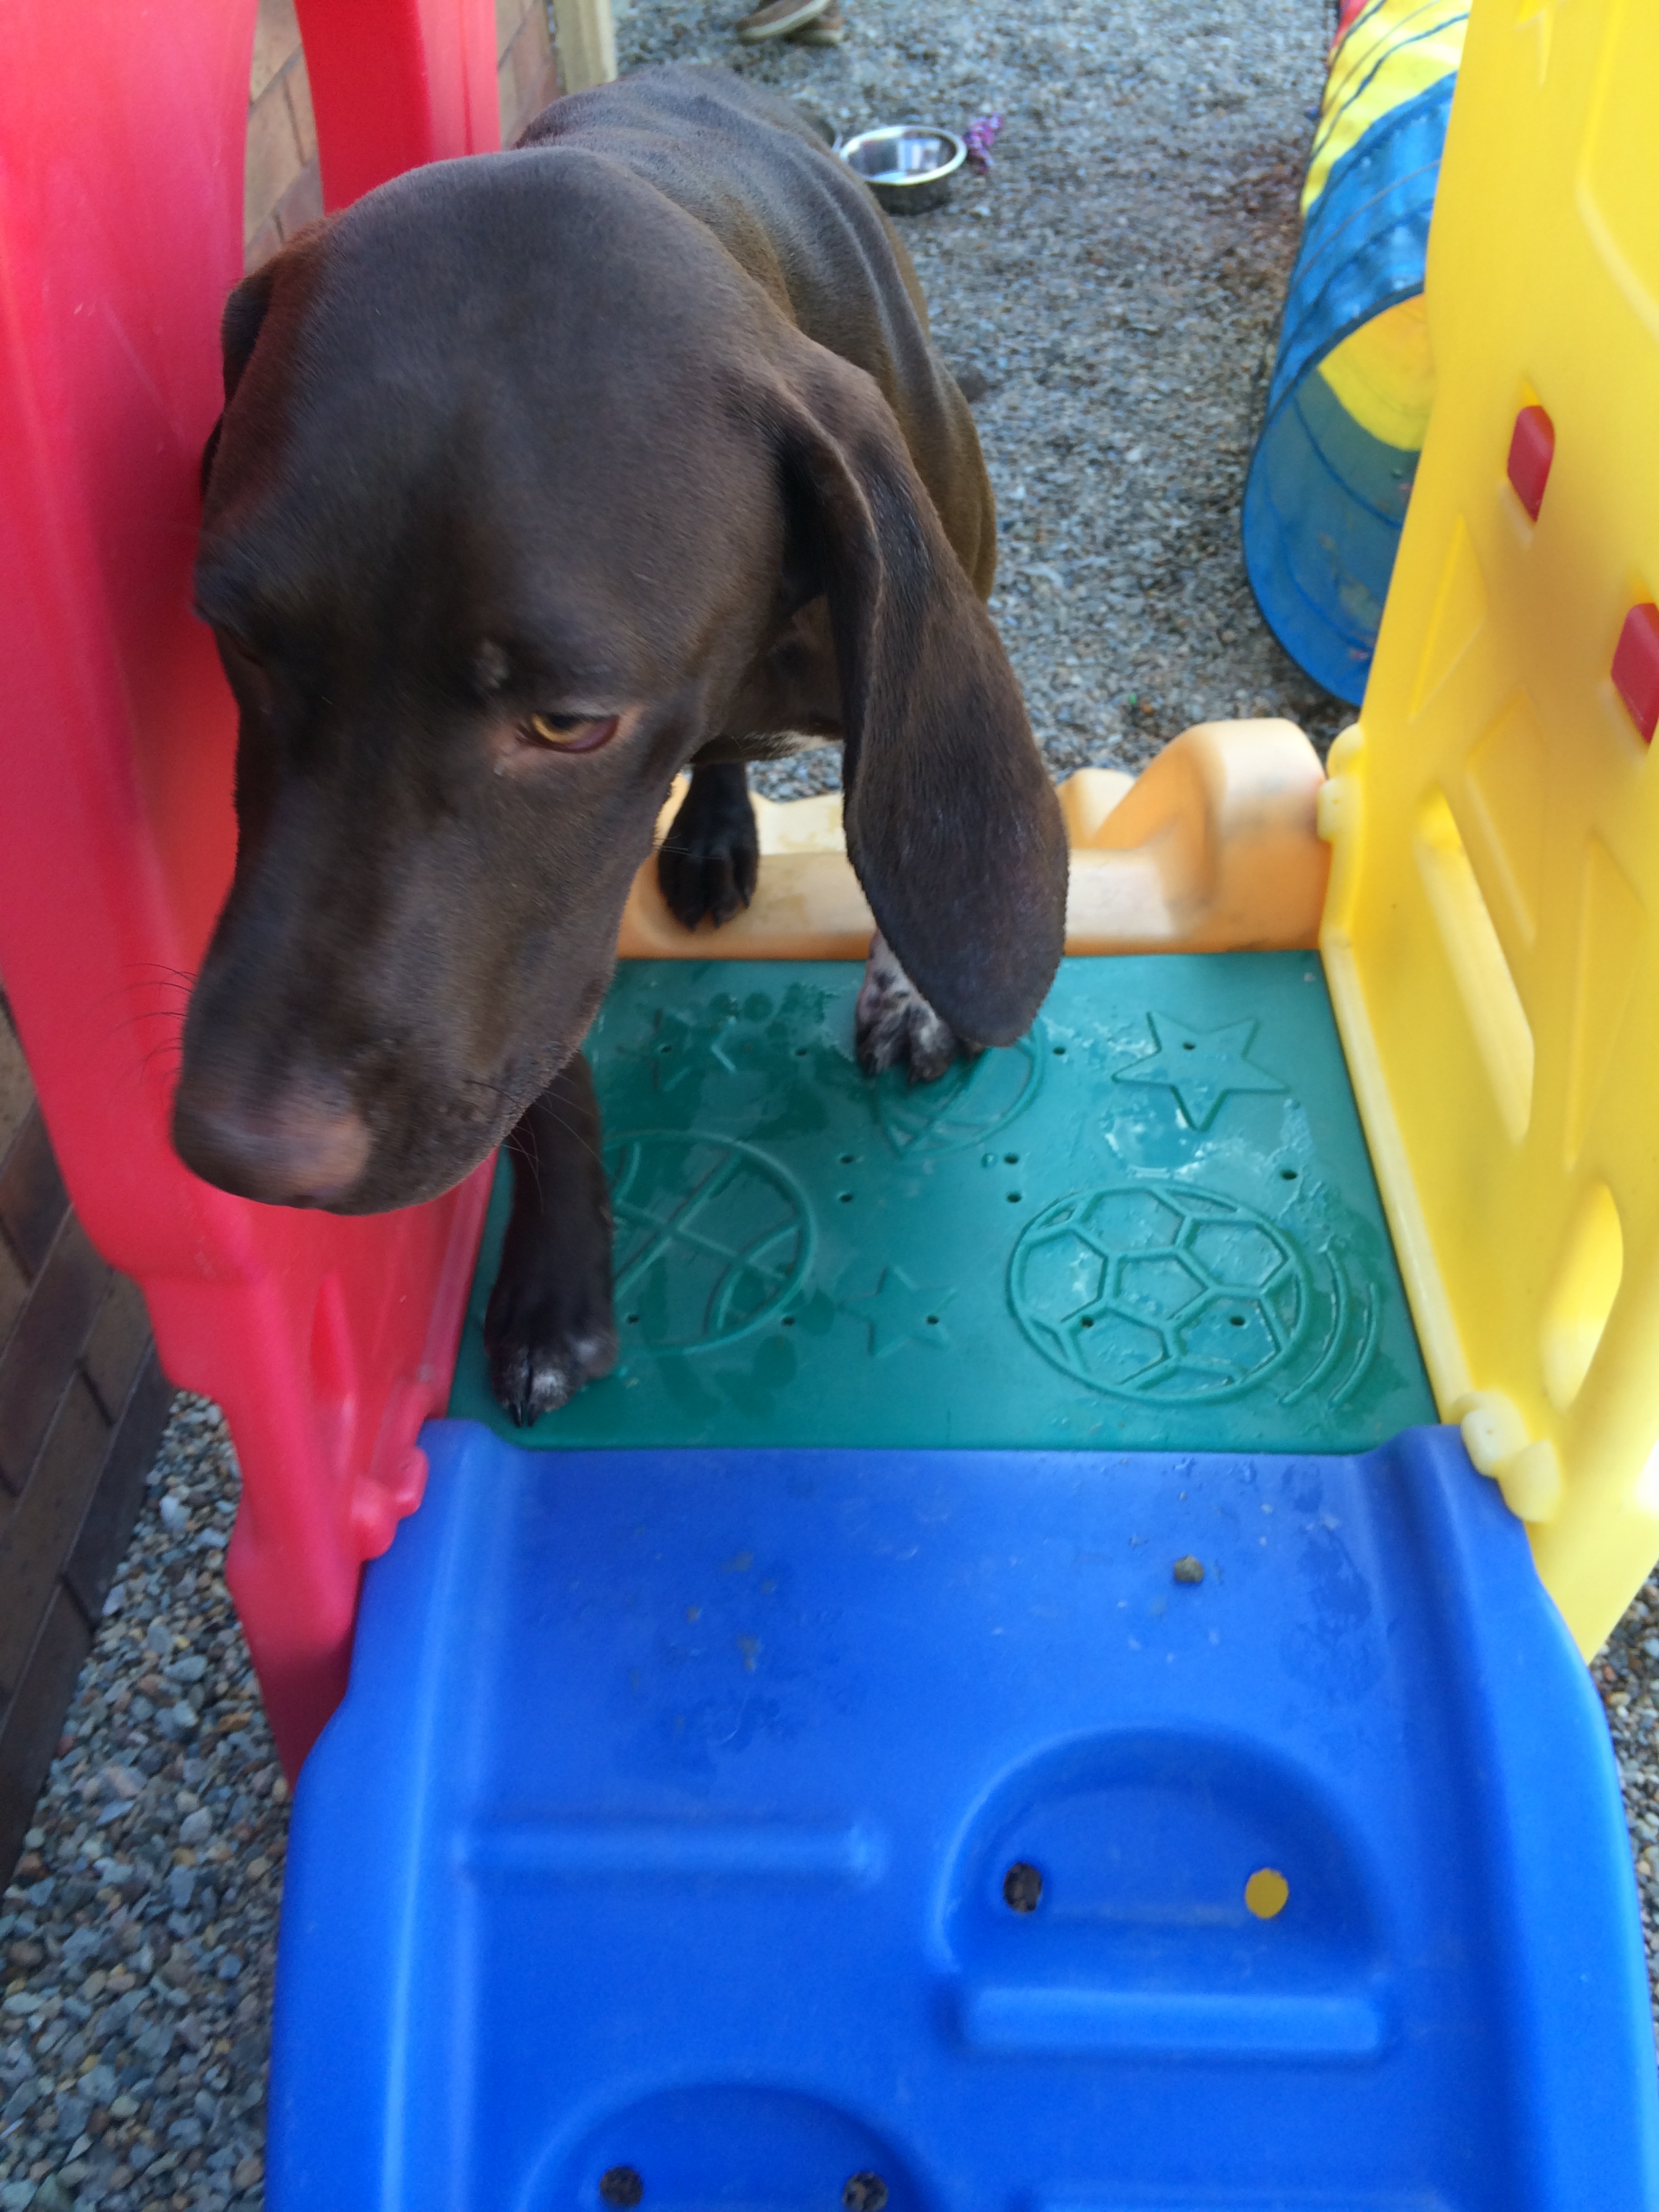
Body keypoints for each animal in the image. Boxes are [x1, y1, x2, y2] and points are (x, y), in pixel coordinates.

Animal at [178, 65, 1068, 1423]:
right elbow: (548, 1068)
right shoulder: (526, 958)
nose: (243, 1154)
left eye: (568, 722)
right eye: (240, 640)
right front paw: (554, 1287)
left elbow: (901, 820)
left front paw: (915, 983)